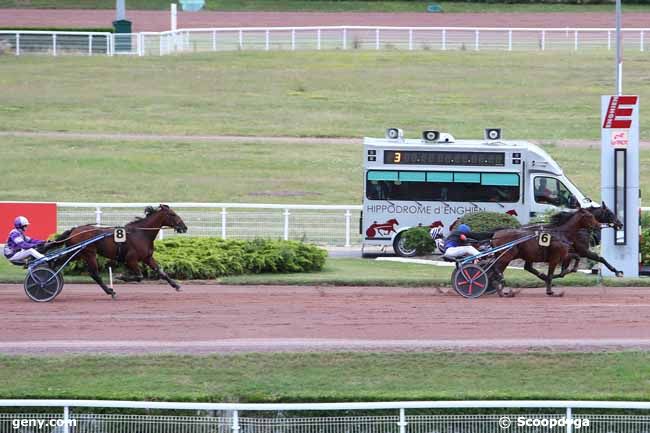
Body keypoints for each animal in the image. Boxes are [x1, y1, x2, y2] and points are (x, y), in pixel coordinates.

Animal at [50, 204, 186, 296]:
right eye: (173, 214)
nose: (184, 227)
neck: (141, 233)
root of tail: (74, 230)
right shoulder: (130, 260)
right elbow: (139, 276)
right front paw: (120, 277)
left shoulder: (147, 258)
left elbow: (161, 272)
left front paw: (176, 285)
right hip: (88, 253)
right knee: (94, 274)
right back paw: (110, 291)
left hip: (77, 253)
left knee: (56, 262)